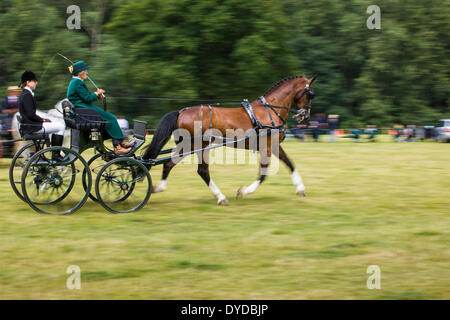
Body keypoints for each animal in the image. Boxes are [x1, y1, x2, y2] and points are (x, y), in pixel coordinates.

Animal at [142, 75, 316, 205]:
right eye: (310, 94)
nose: (305, 115)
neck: (270, 110)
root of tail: (181, 112)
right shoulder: (266, 147)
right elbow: (263, 173)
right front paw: (244, 191)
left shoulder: (273, 146)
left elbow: (289, 163)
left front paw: (300, 188)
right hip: (198, 146)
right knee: (201, 171)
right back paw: (221, 197)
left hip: (188, 146)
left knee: (169, 164)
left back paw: (158, 188)